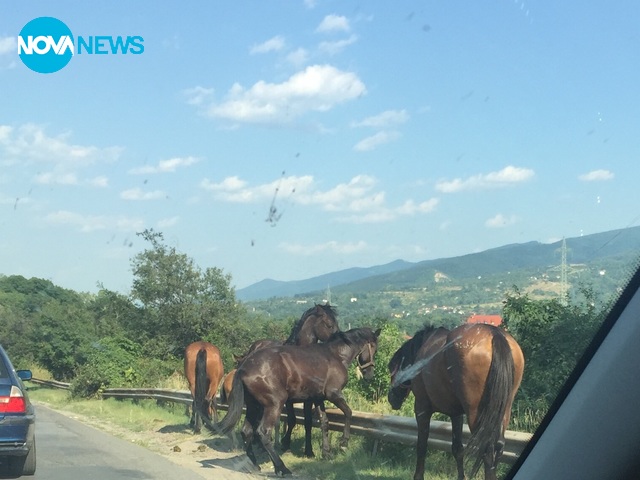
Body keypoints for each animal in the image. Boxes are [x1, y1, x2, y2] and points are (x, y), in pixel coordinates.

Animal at [200, 326, 380, 476]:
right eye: (374, 348)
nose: (370, 374)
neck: (335, 355)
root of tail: (243, 367)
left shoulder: (318, 398)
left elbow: (324, 422)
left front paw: (326, 452)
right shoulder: (333, 394)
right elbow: (348, 413)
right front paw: (343, 443)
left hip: (253, 406)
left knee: (247, 431)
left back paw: (255, 464)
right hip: (273, 405)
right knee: (263, 432)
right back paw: (282, 468)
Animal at [388, 322, 524, 480]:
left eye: (392, 368)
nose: (391, 398)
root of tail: (494, 334)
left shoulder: (422, 408)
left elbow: (422, 445)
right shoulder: (456, 414)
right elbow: (457, 448)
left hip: (476, 414)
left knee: (487, 449)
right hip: (503, 411)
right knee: (498, 446)